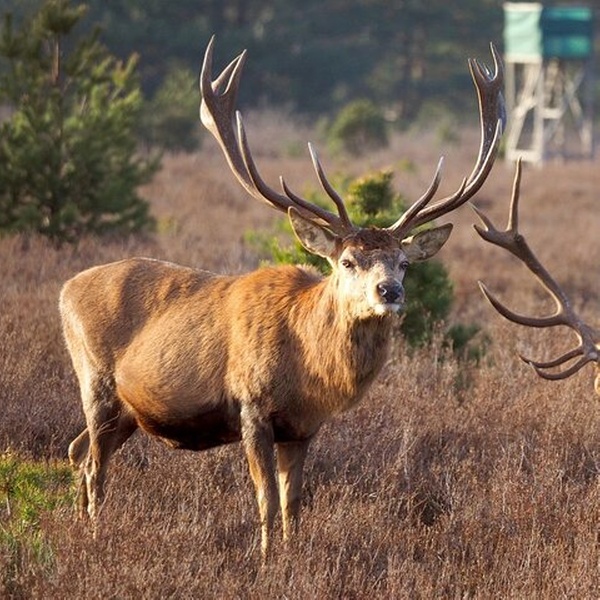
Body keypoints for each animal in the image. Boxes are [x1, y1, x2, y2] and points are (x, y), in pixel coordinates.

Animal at [61, 37, 504, 559]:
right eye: (347, 261)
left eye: (404, 262)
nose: (389, 291)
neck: (307, 367)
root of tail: (66, 288)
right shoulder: (252, 407)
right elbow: (266, 498)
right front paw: (266, 560)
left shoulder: (305, 426)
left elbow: (294, 502)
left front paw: (293, 558)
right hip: (96, 381)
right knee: (93, 465)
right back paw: (93, 536)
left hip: (130, 411)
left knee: (77, 451)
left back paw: (80, 527)